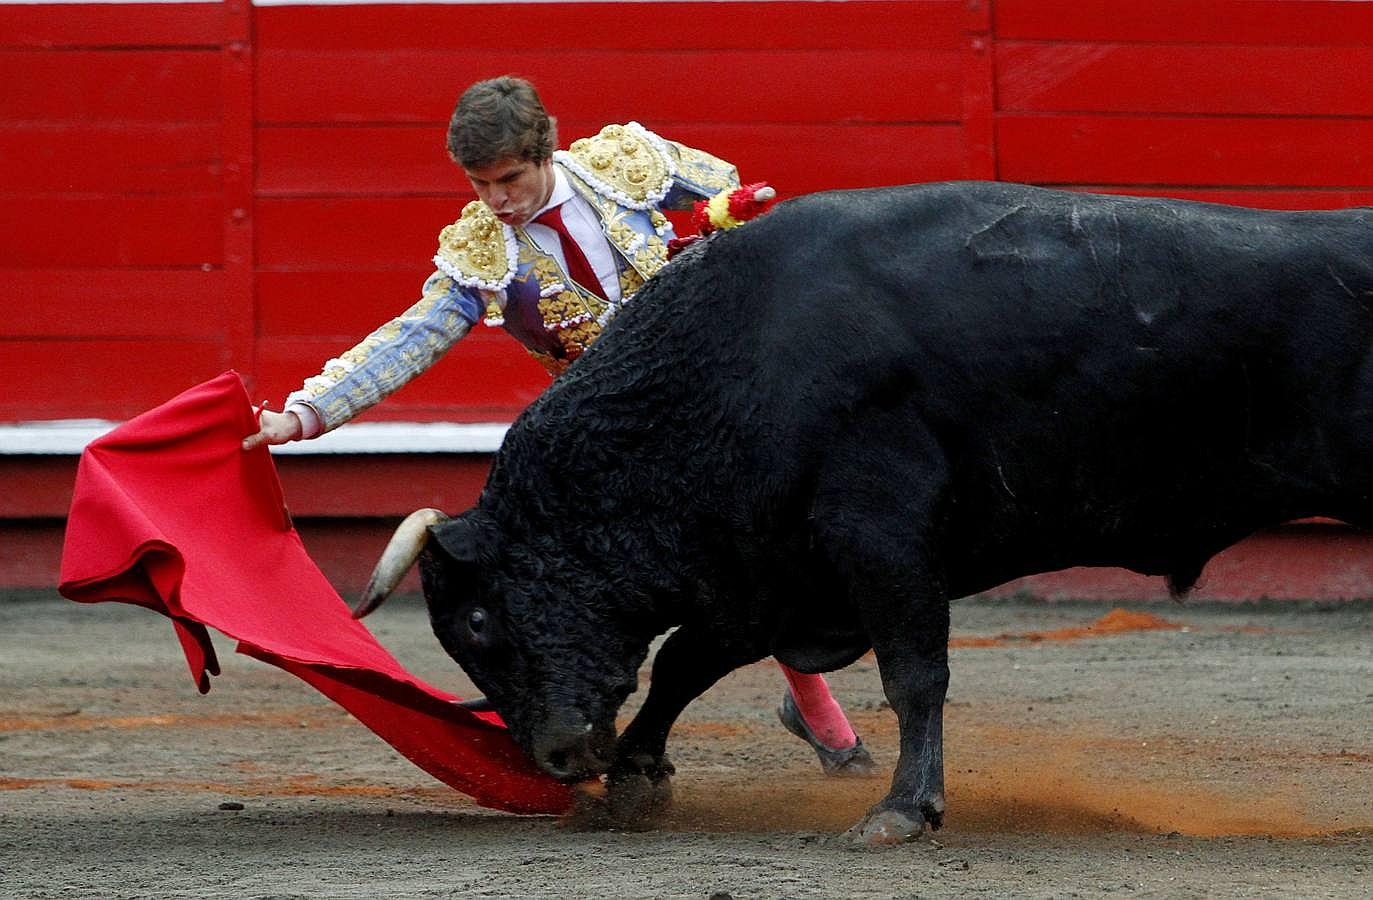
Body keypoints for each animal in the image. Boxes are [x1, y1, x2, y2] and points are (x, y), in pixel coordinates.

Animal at [356, 182, 1373, 846]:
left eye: (478, 619)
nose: (561, 756)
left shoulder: (877, 534)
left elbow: (913, 673)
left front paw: (899, 812)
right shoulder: (763, 566)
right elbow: (685, 662)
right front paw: (638, 779)